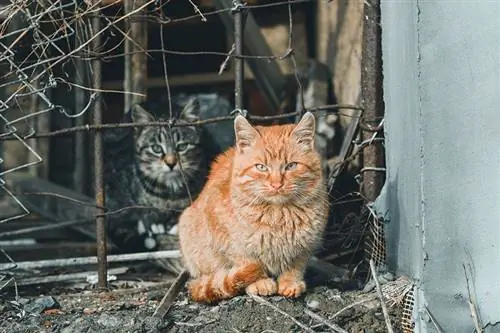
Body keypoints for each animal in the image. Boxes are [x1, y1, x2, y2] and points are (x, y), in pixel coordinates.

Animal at [178, 112, 330, 304]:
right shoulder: (230, 243)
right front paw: (259, 282)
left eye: (291, 166)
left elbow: (296, 266)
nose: (276, 184)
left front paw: (290, 282)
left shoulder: (306, 247)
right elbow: (246, 263)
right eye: (261, 167)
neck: (278, 214)